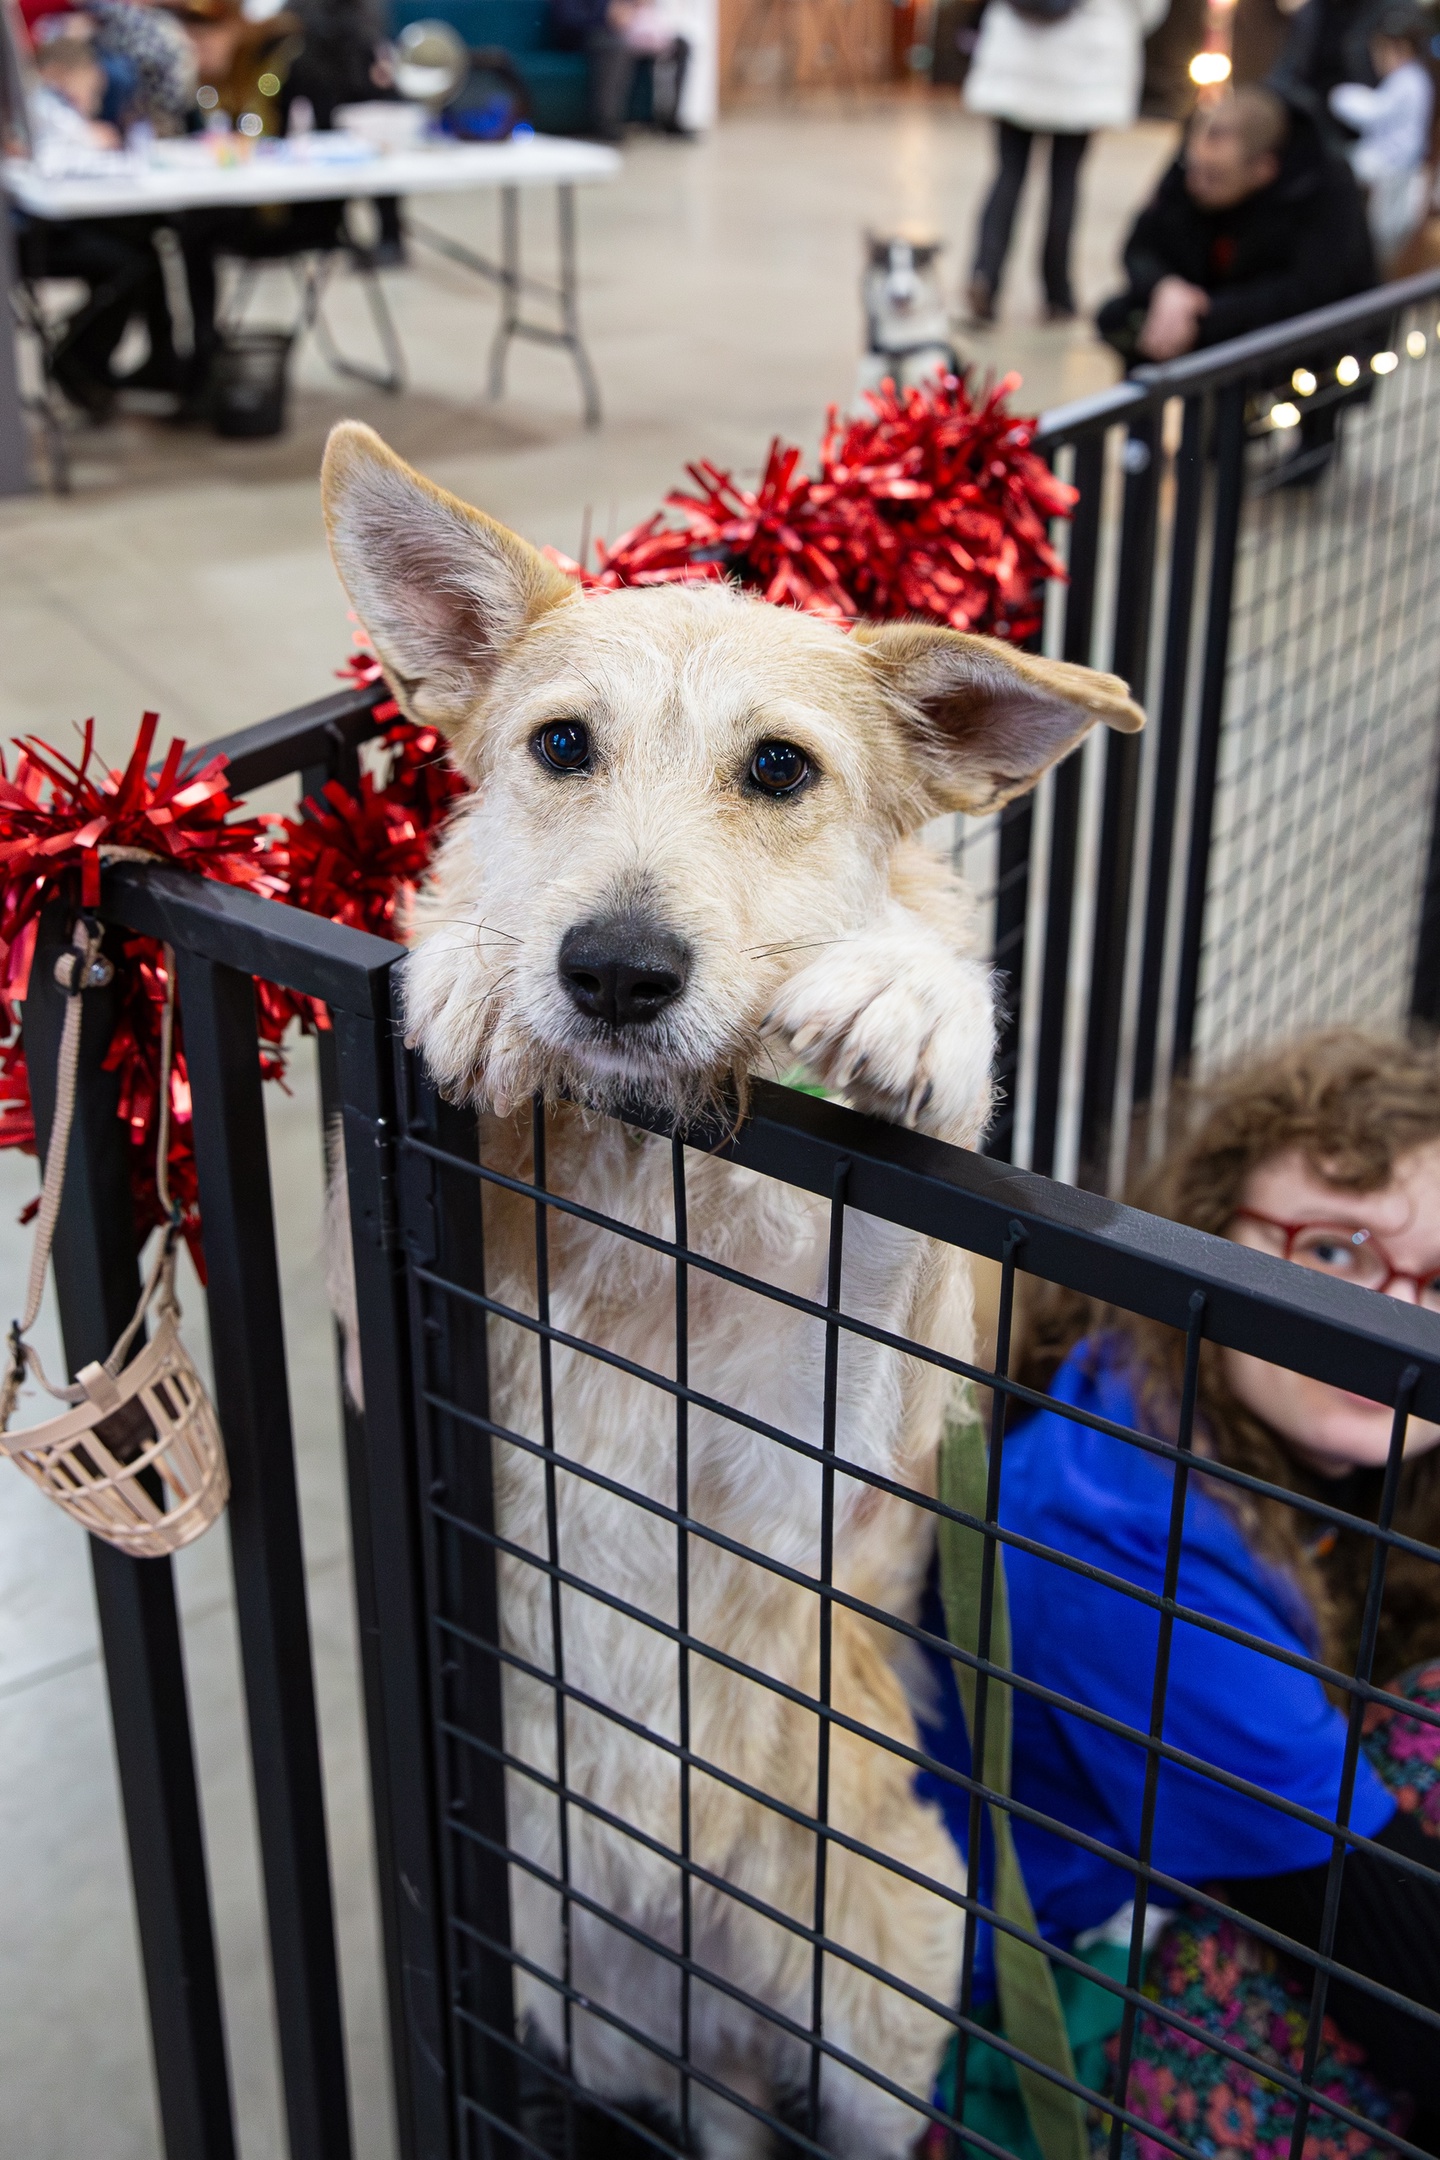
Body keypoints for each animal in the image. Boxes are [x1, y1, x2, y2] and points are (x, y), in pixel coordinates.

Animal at [321, 421, 1139, 2160]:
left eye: (779, 770)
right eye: (561, 744)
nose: (614, 972)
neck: (654, 1180)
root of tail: (715, 2015)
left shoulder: (801, 1456)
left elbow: (893, 1240)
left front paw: (919, 1007)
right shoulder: (406, 1358)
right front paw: (468, 958)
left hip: (879, 2002)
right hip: (592, 2009)